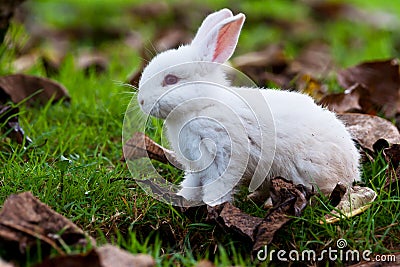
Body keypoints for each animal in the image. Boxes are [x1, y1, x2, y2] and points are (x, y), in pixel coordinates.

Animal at [137, 7, 360, 205]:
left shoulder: (223, 158)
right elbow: (192, 183)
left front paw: (213, 206)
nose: (141, 101)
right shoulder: (196, 166)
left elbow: (218, 187)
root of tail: (353, 169)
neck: (203, 105)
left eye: (171, 79)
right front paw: (183, 198)